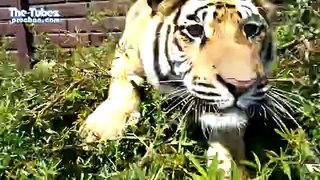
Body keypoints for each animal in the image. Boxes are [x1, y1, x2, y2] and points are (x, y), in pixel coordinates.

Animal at [81, 0, 278, 178]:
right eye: (195, 30)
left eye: (251, 30)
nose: (241, 85)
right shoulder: (126, 57)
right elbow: (122, 87)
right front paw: (99, 130)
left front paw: (231, 167)